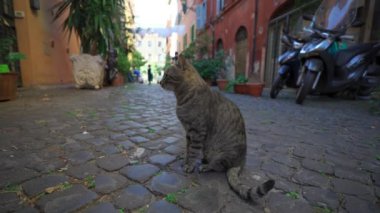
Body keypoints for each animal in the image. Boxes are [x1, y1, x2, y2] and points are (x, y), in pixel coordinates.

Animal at [159, 54, 274, 201]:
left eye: (167, 75)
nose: (159, 82)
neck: (181, 97)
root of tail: (241, 162)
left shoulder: (197, 131)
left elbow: (193, 151)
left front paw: (190, 165)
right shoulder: (188, 132)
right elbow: (188, 150)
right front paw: (186, 162)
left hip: (218, 153)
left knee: (219, 166)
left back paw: (205, 166)